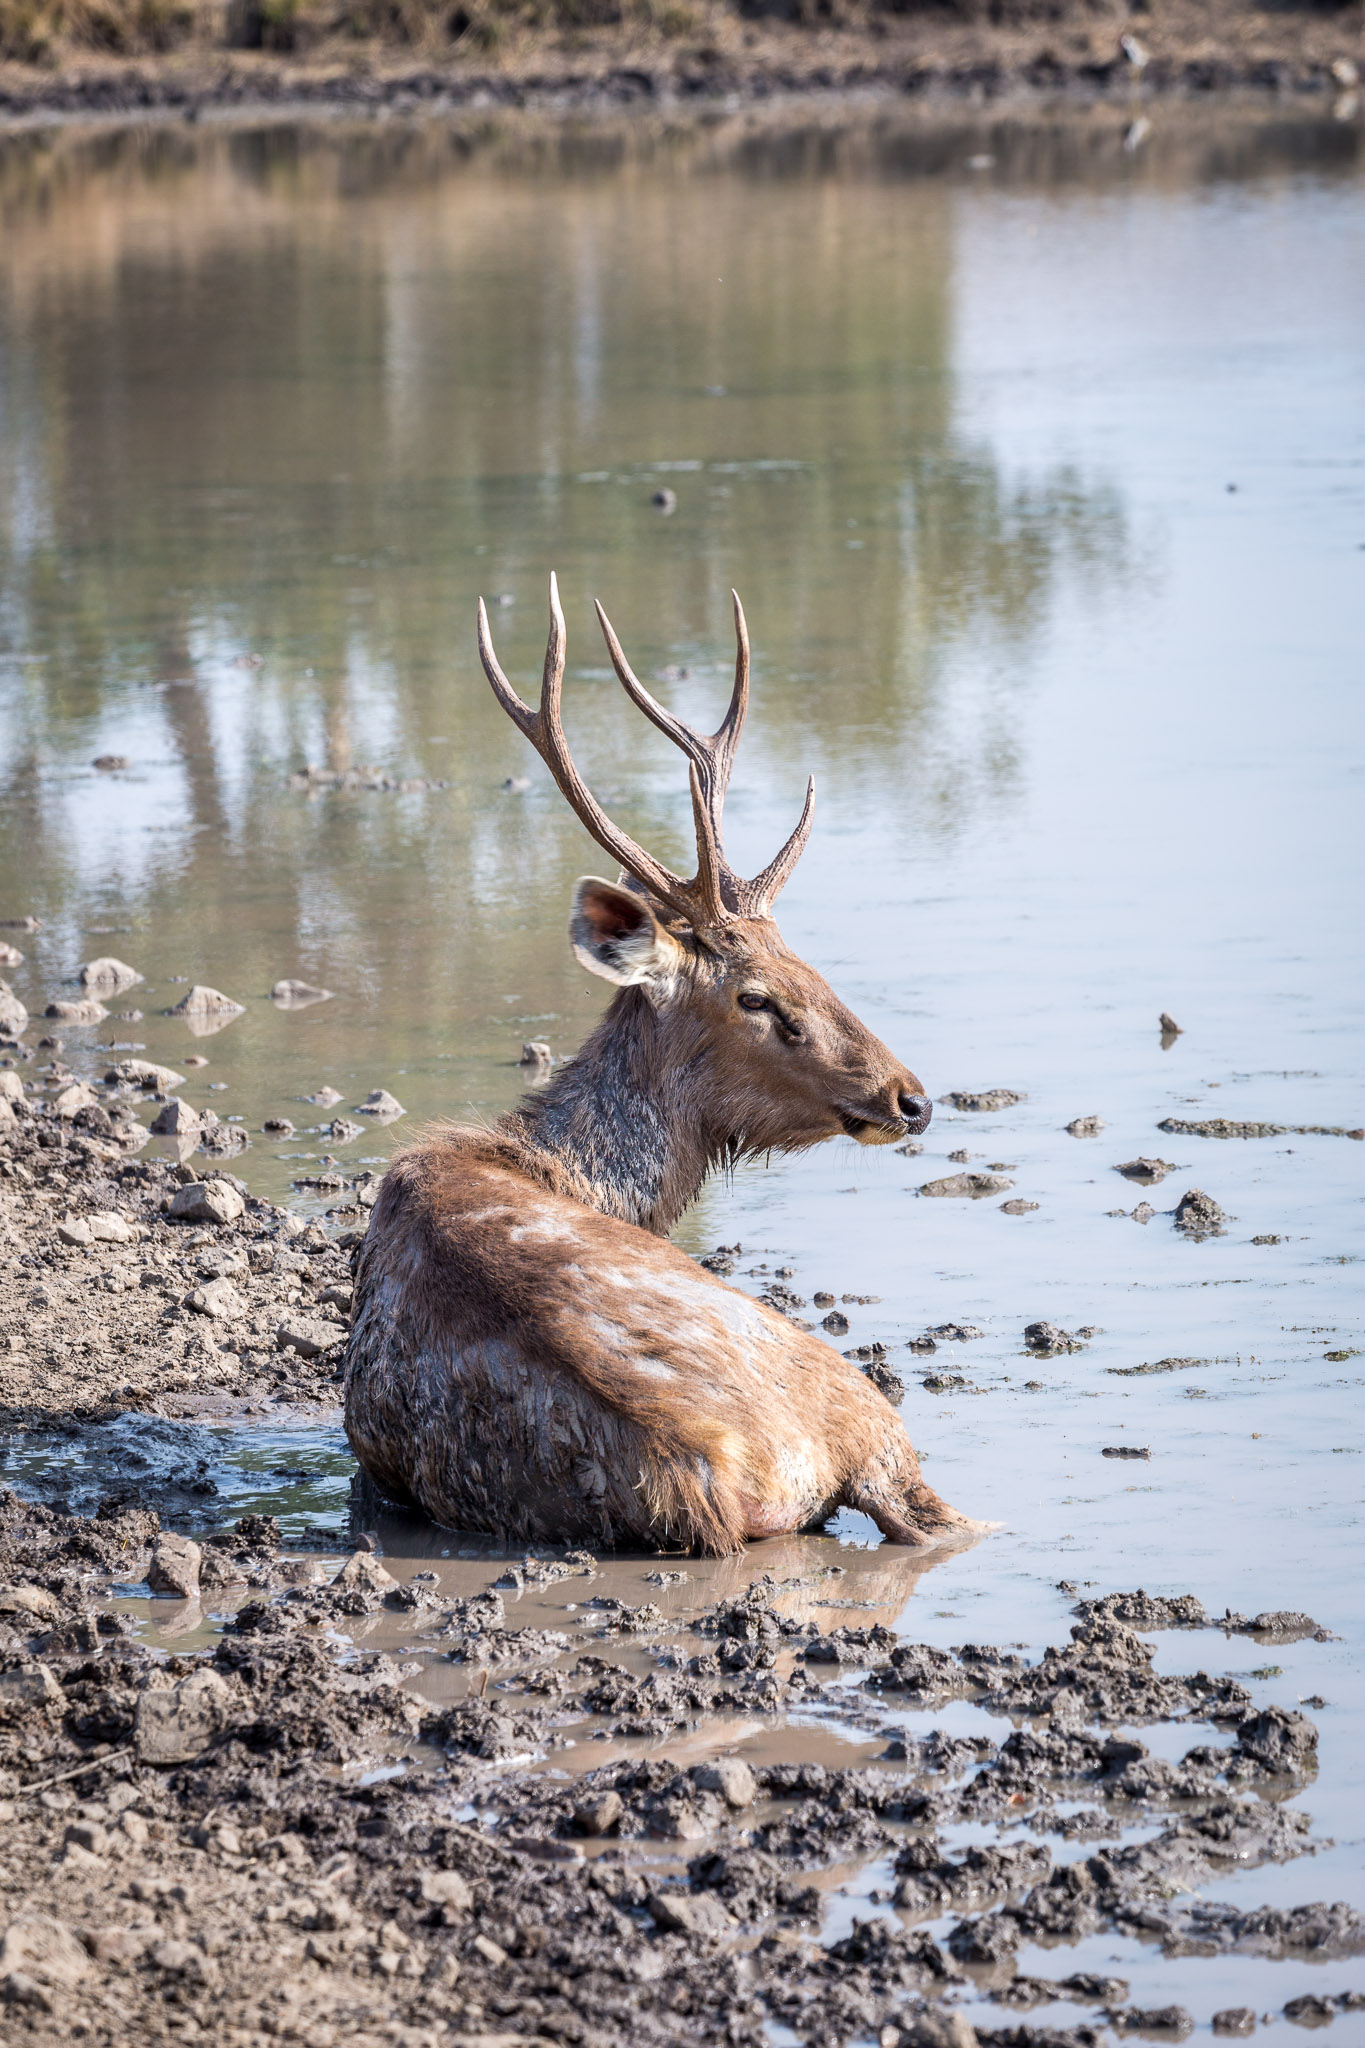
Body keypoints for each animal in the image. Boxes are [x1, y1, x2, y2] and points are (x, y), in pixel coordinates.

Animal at [343, 577, 982, 1548]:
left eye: (810, 965)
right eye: (756, 998)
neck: (569, 1174)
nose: (910, 1099)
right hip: (868, 1409)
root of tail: (708, 1465)